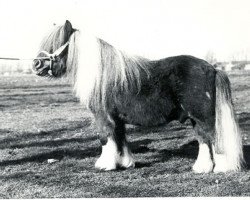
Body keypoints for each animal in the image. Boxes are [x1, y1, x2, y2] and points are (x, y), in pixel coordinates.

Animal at [32, 20, 243, 173]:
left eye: (57, 44)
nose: (36, 64)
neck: (103, 75)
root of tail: (212, 68)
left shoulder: (103, 117)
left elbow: (105, 138)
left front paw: (105, 165)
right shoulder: (117, 119)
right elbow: (120, 139)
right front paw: (125, 163)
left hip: (205, 117)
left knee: (214, 138)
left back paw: (221, 168)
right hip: (195, 118)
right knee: (204, 139)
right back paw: (202, 168)